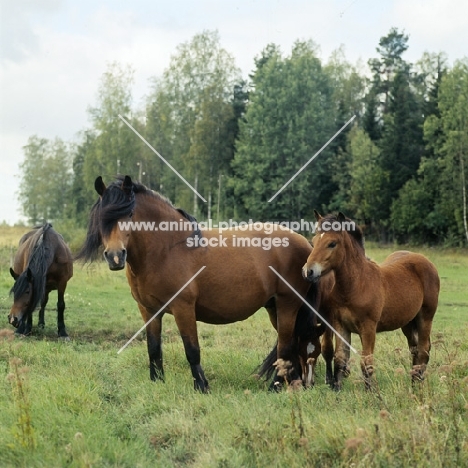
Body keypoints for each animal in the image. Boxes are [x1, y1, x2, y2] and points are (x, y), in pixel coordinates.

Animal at [76, 176, 322, 392]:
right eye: (102, 217)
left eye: (129, 214)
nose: (115, 257)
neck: (166, 251)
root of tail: (305, 245)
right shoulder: (149, 310)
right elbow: (153, 349)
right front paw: (157, 383)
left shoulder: (183, 308)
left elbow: (192, 350)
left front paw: (202, 386)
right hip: (274, 308)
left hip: (287, 305)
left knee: (286, 346)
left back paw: (276, 387)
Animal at [302, 214, 440, 390]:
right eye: (313, 241)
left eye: (332, 243)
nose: (308, 271)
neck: (356, 285)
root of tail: (425, 260)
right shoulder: (340, 326)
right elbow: (340, 359)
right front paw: (337, 390)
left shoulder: (368, 328)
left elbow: (366, 362)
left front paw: (371, 392)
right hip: (408, 322)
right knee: (414, 349)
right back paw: (414, 381)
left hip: (425, 317)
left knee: (423, 350)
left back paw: (418, 385)